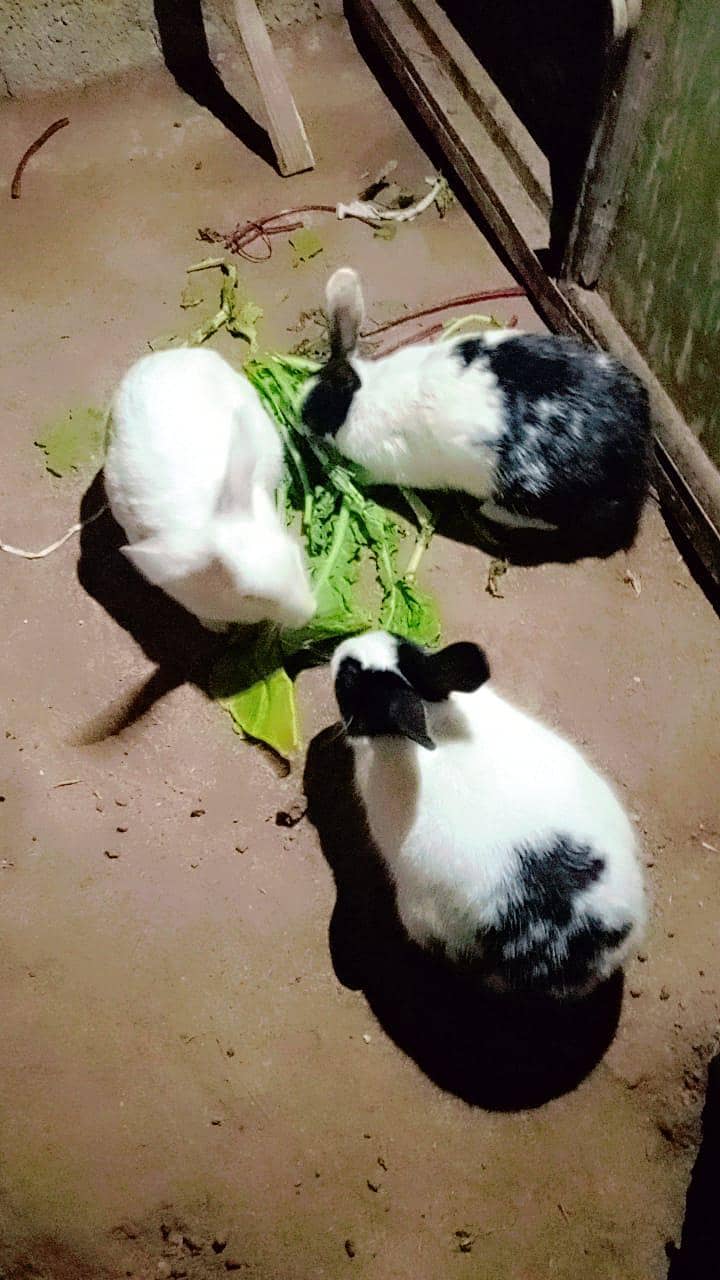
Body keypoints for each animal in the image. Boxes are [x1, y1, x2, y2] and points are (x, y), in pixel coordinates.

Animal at [301, 268, 652, 554]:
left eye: (321, 409)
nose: (300, 418)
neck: (359, 397)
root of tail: (634, 459)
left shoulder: (385, 463)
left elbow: (369, 475)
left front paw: (347, 474)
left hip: (534, 497)